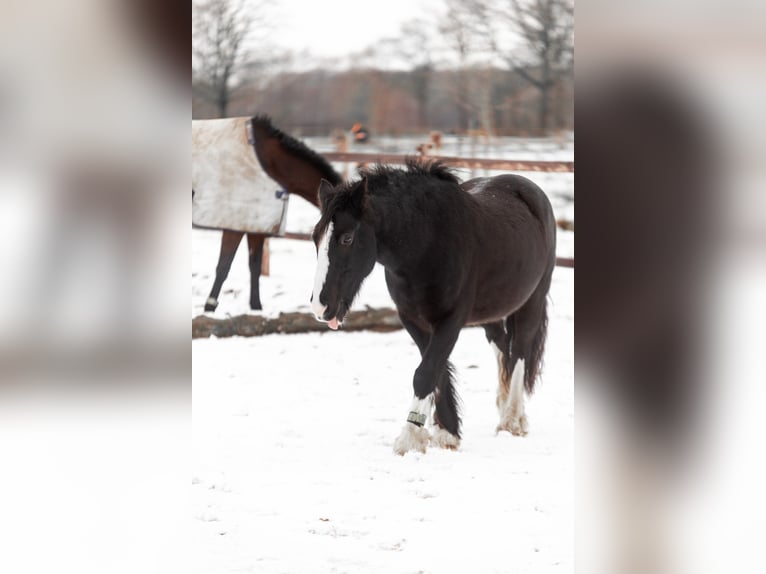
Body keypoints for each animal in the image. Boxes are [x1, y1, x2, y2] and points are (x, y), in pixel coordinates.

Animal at [193, 115, 342, 312]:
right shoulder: (235, 226)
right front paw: (210, 307)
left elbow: (254, 267)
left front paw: (256, 306)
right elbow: (224, 266)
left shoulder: (257, 227)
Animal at [310, 160, 556, 454]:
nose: (320, 307)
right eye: (315, 238)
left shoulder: (450, 320)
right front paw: (447, 432)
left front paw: (409, 438)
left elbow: (426, 372)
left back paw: (512, 419)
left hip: (532, 301)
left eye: (347, 238)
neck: (426, 243)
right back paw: (504, 405)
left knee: (519, 350)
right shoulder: (413, 319)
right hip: (492, 312)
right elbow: (436, 370)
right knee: (503, 347)